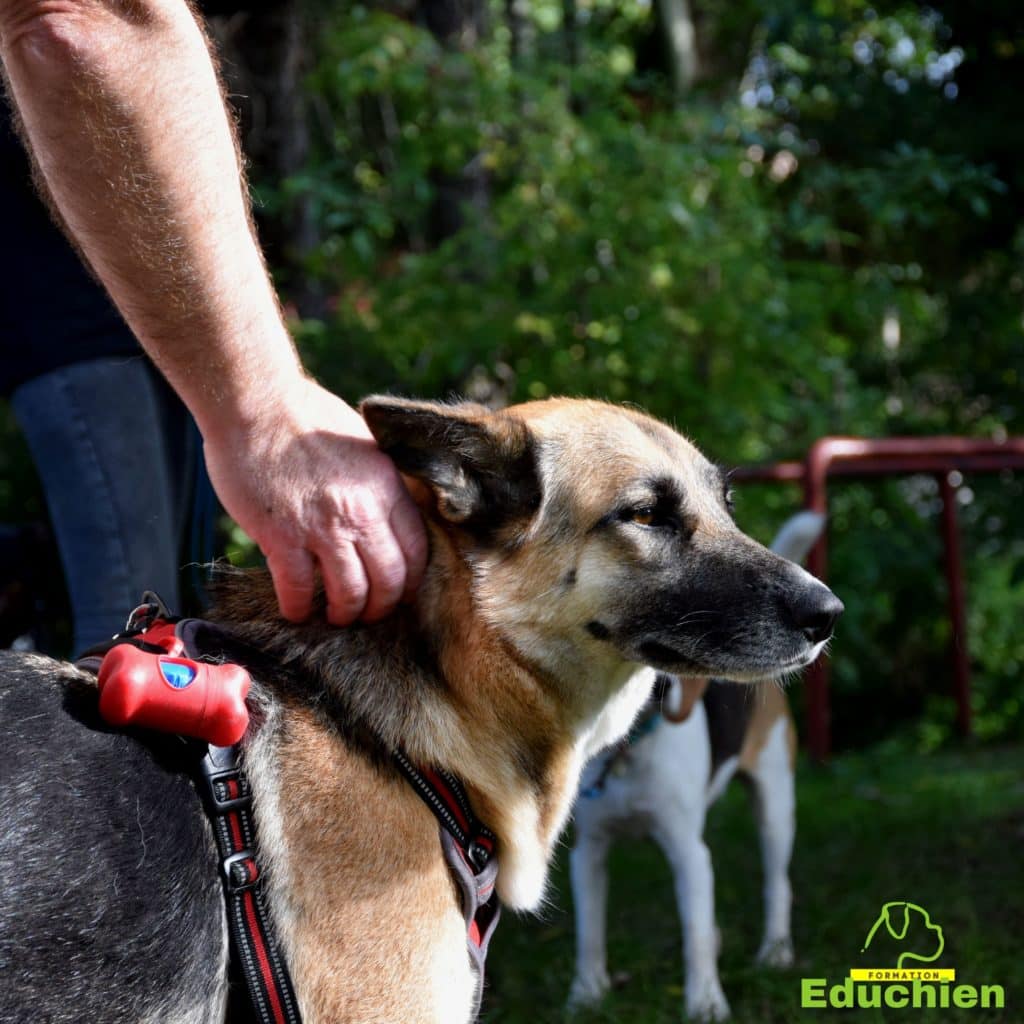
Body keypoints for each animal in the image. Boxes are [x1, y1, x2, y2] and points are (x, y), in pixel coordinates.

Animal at [565, 507, 827, 1019]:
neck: (628, 751)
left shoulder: (690, 852)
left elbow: (697, 936)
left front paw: (705, 1002)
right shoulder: (588, 851)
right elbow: (589, 935)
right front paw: (586, 995)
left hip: (774, 806)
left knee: (777, 883)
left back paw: (775, 950)